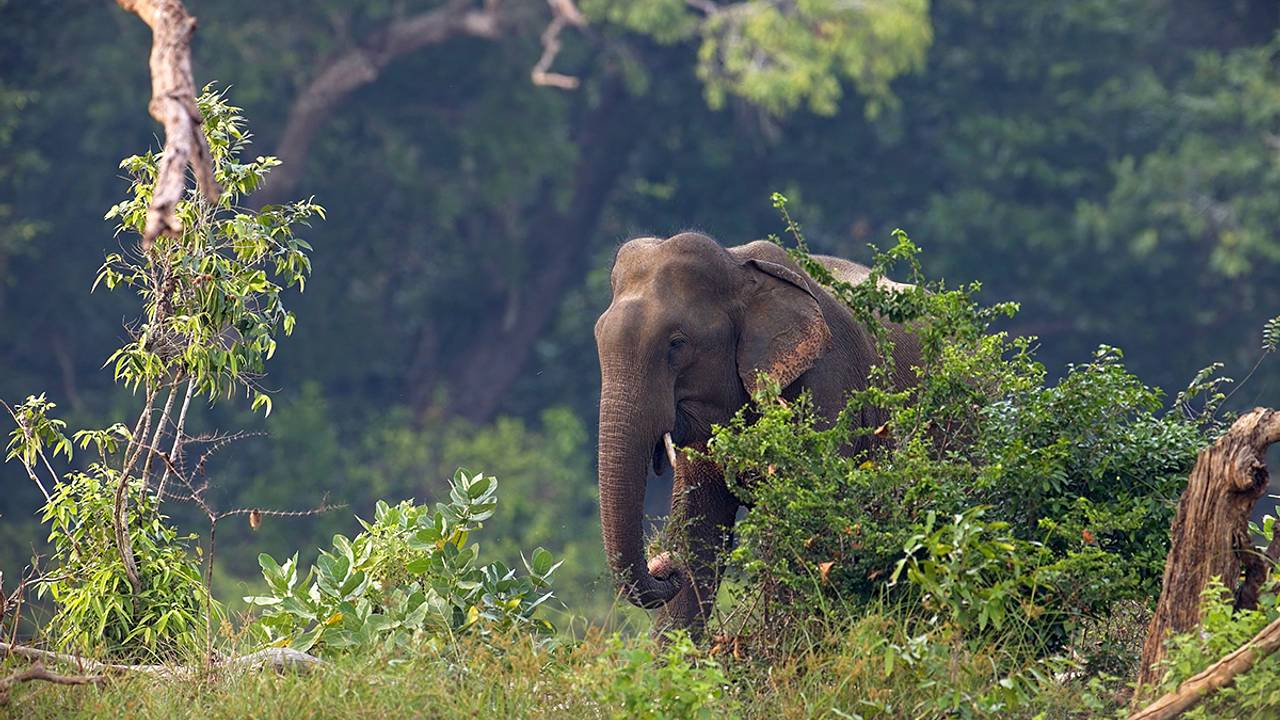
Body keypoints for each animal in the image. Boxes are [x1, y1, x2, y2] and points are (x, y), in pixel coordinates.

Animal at [593, 231, 920, 635]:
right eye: (597, 337)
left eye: (677, 344)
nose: (664, 566)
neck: (739, 268)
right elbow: (698, 533)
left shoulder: (827, 388)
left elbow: (803, 524)